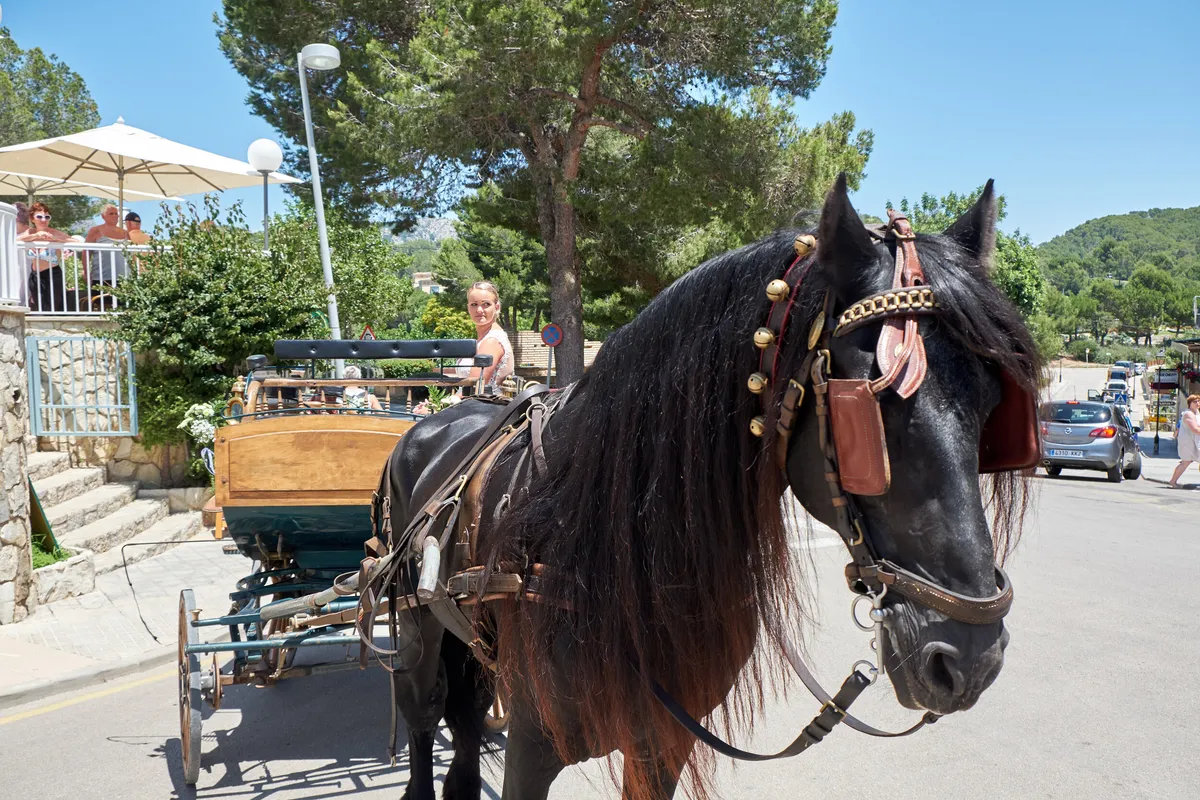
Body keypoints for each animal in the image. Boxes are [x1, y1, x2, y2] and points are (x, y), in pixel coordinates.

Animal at [376, 175, 1040, 800]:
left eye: (995, 403)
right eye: (866, 414)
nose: (970, 659)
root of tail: (435, 420)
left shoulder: (663, 744)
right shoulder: (533, 748)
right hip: (415, 625)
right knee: (424, 709)